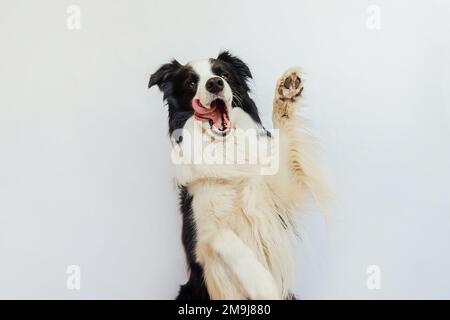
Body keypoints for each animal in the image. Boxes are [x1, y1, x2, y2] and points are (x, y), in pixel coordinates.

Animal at [149, 51, 326, 298]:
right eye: (191, 83)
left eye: (223, 74)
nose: (214, 83)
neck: (224, 147)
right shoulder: (199, 242)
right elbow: (224, 236)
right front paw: (262, 283)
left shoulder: (277, 201)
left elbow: (285, 141)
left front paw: (286, 94)